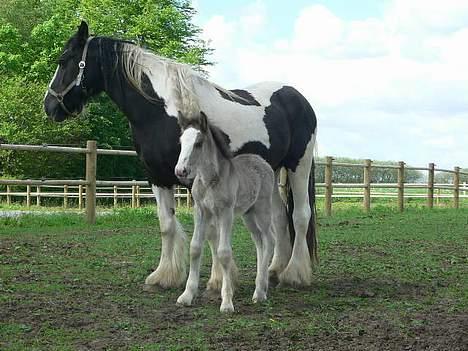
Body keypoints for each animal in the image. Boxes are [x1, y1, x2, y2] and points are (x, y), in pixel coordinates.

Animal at [43, 22, 318, 292]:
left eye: (63, 60)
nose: (49, 106)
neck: (161, 112)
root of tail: (298, 98)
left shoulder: (196, 181)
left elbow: (210, 231)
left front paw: (218, 280)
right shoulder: (157, 178)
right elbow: (167, 225)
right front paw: (164, 276)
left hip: (299, 165)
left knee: (300, 215)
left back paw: (294, 274)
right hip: (270, 172)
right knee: (279, 218)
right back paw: (274, 270)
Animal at [176, 114, 278, 312]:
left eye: (198, 143)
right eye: (181, 141)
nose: (180, 171)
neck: (209, 180)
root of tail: (262, 162)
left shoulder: (226, 213)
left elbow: (223, 253)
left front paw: (227, 302)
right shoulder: (201, 211)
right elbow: (195, 248)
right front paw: (186, 295)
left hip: (262, 210)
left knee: (269, 239)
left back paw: (259, 292)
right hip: (248, 215)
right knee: (259, 242)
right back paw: (260, 286)